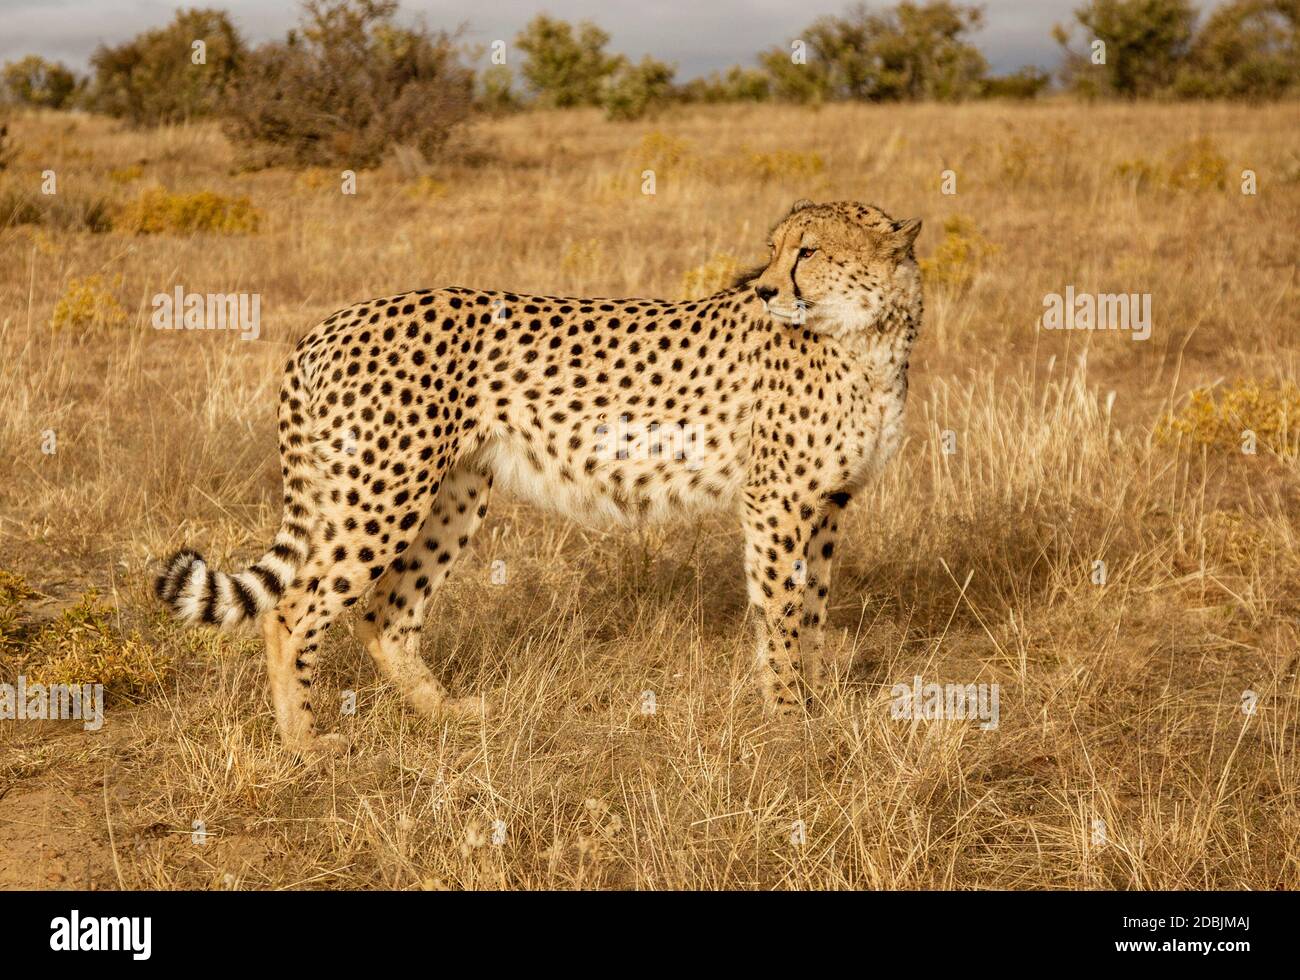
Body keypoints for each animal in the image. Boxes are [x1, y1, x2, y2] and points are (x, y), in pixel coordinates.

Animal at [152, 198, 925, 748]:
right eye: (777, 250)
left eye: (809, 250)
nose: (763, 289)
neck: (870, 336)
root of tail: (328, 324)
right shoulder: (777, 499)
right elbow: (782, 610)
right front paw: (790, 718)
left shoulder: (828, 502)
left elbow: (812, 607)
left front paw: (815, 704)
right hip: (381, 492)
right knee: (292, 610)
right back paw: (305, 744)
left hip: (450, 494)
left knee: (386, 611)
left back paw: (448, 713)